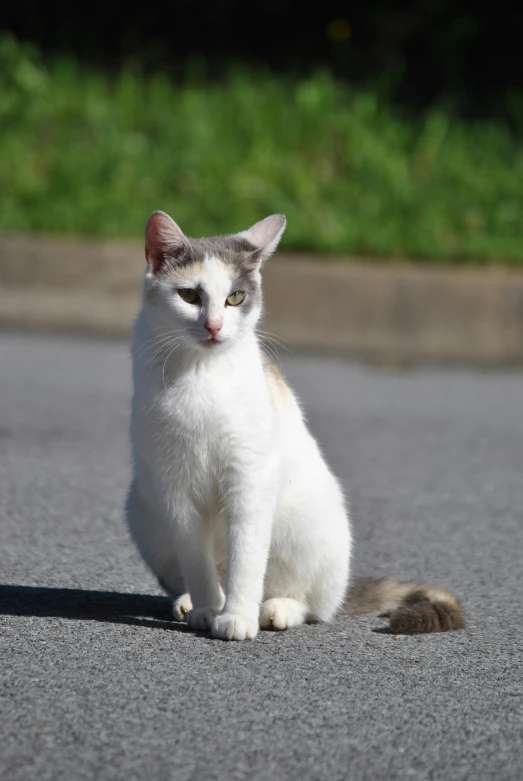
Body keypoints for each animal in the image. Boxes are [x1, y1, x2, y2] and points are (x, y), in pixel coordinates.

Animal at [127, 209, 466, 640]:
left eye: (234, 297)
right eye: (190, 296)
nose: (214, 326)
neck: (200, 374)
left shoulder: (250, 478)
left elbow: (247, 558)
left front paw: (237, 617)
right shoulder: (174, 487)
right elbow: (197, 561)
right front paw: (207, 608)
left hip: (311, 526)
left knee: (312, 603)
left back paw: (277, 609)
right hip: (144, 513)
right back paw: (191, 602)